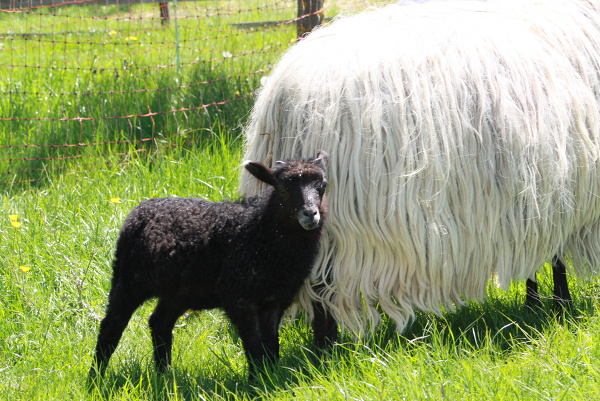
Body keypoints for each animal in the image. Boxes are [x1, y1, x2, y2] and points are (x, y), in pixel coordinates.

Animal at [90, 151, 328, 378]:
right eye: (283, 188)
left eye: (323, 185)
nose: (310, 214)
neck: (259, 231)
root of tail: (141, 208)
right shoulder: (238, 297)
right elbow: (254, 346)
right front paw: (257, 382)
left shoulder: (275, 300)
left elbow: (271, 346)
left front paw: (270, 378)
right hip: (128, 278)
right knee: (111, 326)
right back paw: (96, 379)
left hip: (179, 291)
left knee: (159, 323)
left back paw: (163, 375)